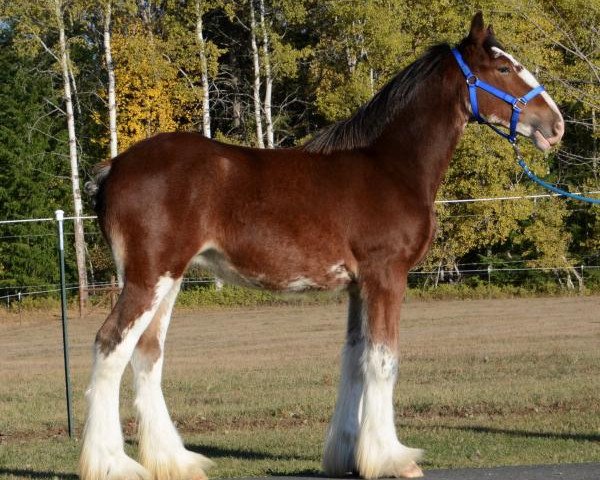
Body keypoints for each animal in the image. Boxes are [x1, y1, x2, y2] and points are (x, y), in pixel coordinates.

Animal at [78, 13, 564, 480]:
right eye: (504, 68)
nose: (555, 124)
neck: (391, 167)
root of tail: (114, 167)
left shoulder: (358, 286)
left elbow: (355, 360)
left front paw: (350, 456)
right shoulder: (386, 276)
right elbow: (383, 361)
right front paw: (393, 459)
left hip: (168, 278)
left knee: (147, 354)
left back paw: (176, 462)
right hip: (150, 277)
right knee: (110, 345)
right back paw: (111, 463)